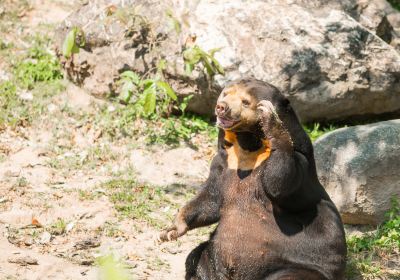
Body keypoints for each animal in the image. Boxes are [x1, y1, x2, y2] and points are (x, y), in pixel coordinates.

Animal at [159, 78, 346, 280]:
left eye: (246, 102)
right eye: (225, 94)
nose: (221, 107)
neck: (248, 147)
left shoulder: (302, 163)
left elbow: (281, 183)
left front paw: (272, 122)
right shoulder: (223, 162)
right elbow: (210, 199)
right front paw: (171, 230)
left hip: (299, 265)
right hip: (213, 254)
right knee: (197, 259)